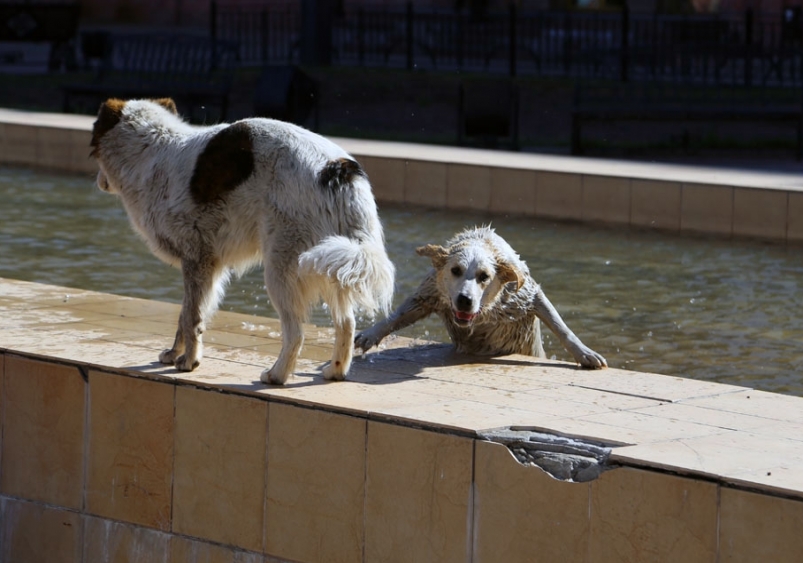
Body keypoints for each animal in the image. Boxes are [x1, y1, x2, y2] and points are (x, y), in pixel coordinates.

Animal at [91, 99, 396, 386]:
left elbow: (191, 318)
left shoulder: (197, 260)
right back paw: (335, 372)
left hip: (283, 267)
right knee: (346, 323)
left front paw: (188, 362)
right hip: (333, 261)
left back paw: (276, 376)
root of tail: (336, 168)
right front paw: (174, 354)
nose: (98, 182)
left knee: (296, 332)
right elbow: (186, 315)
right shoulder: (208, 266)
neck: (152, 150)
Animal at [354, 226, 608, 370]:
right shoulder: (431, 292)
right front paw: (370, 334)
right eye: (455, 270)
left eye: (484, 276)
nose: (464, 299)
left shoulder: (525, 294)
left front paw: (586, 354)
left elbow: (560, 326)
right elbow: (399, 314)